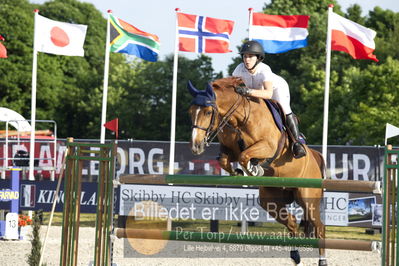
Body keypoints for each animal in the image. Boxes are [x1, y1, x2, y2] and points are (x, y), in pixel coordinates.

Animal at [189, 77, 326, 266]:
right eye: (190, 112)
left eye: (208, 112)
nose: (196, 146)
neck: (239, 119)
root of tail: (315, 156)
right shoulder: (229, 149)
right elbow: (226, 160)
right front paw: (238, 172)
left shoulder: (267, 146)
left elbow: (245, 156)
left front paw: (254, 169)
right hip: (271, 200)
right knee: (291, 222)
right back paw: (295, 255)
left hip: (307, 198)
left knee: (319, 227)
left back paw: (322, 260)